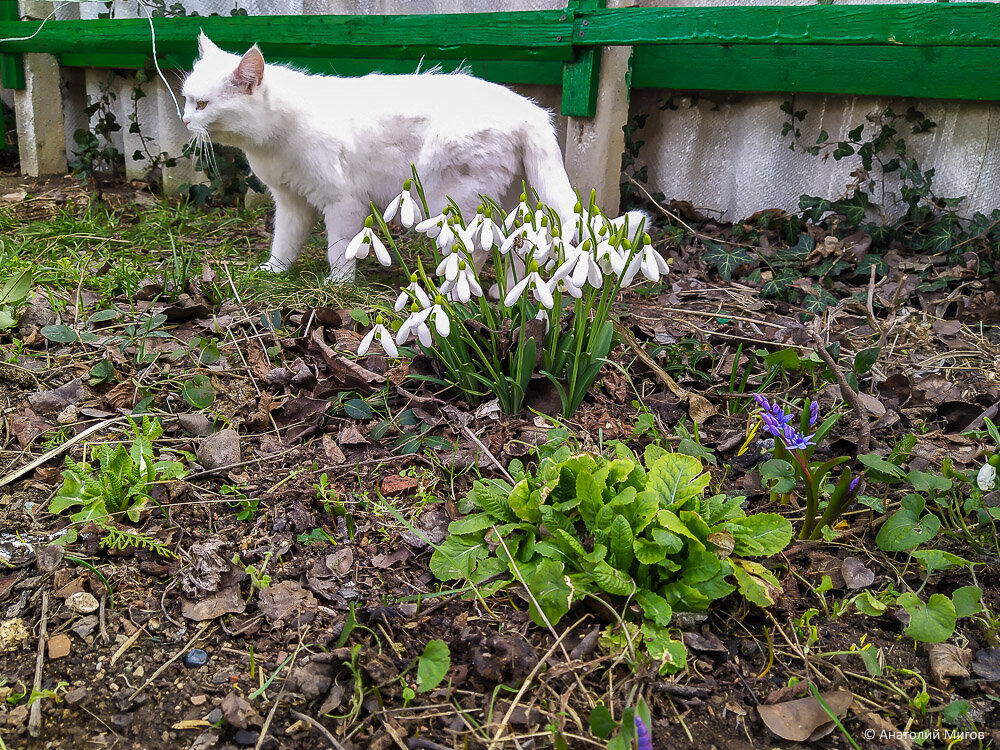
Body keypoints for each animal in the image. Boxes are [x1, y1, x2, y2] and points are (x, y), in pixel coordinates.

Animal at [183, 34, 636, 282]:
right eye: (188, 99)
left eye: (202, 105)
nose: (185, 120)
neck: (274, 137)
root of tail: (529, 109)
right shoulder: (292, 203)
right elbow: (284, 243)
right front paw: (274, 273)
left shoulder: (342, 203)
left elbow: (340, 250)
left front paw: (338, 286)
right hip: (504, 203)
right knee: (512, 249)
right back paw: (503, 292)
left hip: (452, 204)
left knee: (478, 250)